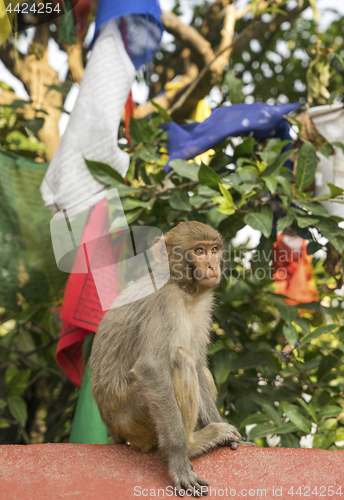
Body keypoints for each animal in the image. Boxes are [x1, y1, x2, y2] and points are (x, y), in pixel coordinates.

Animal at [90, 222, 256, 496]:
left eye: (213, 250)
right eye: (199, 251)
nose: (213, 266)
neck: (183, 288)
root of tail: (114, 429)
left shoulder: (203, 305)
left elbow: (199, 366)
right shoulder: (163, 302)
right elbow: (152, 368)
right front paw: (179, 458)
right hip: (134, 418)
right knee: (179, 359)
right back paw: (193, 444)